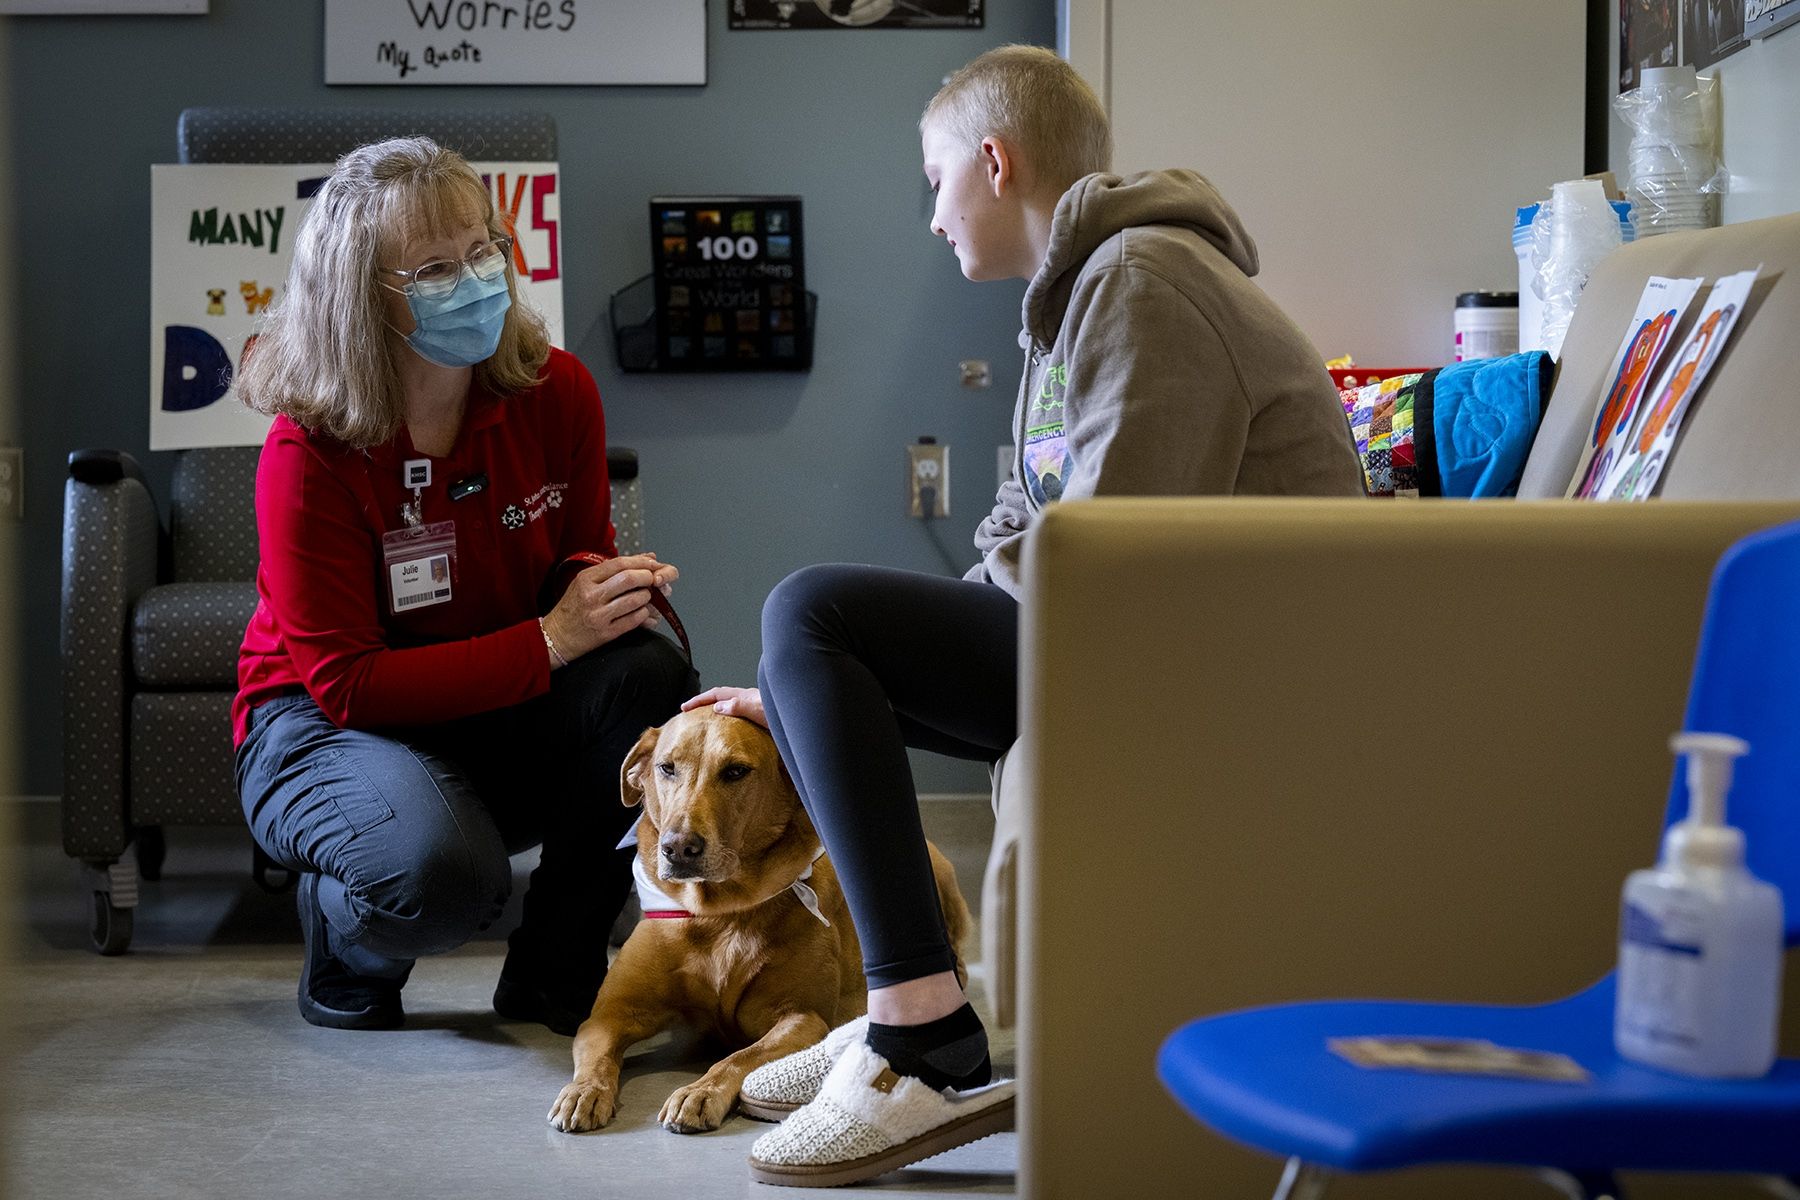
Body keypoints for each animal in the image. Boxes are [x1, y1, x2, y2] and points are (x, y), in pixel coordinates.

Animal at [547, 708, 972, 1144]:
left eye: (735, 771)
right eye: (666, 768)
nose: (678, 847)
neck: (721, 913)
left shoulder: (802, 1018)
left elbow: (741, 1055)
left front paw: (700, 1092)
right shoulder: (608, 1015)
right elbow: (598, 1058)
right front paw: (583, 1092)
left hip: (937, 872)